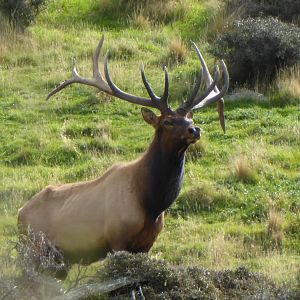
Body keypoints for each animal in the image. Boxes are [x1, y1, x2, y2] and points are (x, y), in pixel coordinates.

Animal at [17, 35, 229, 278]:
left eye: (190, 119)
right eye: (167, 121)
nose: (195, 130)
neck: (151, 203)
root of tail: (19, 215)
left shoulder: (146, 245)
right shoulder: (117, 239)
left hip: (59, 260)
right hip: (34, 250)